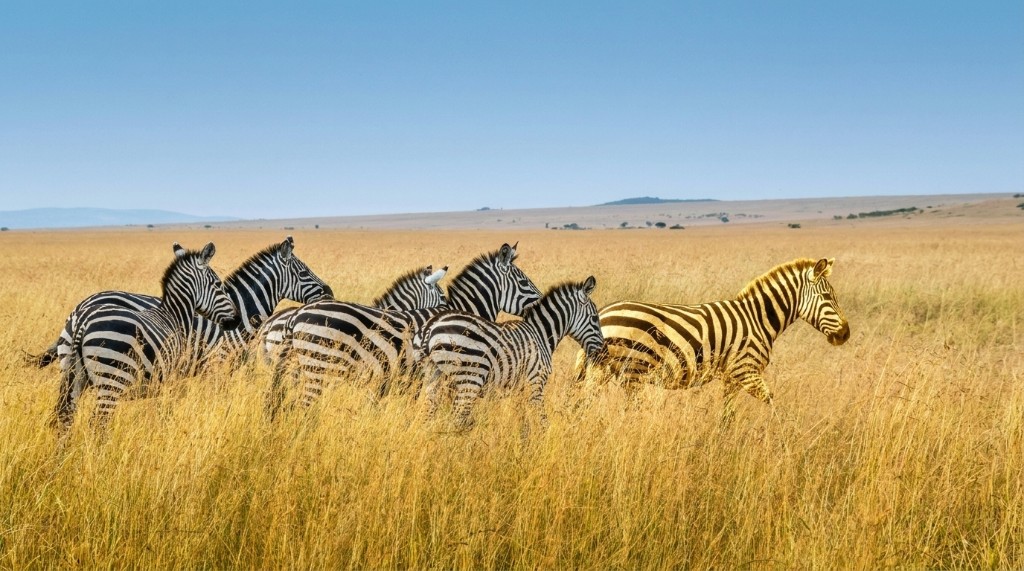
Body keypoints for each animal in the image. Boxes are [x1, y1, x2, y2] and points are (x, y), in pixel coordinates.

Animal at [53, 242, 240, 431]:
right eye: (218, 284)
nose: (237, 320)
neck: (174, 315)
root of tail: (82, 321)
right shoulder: (171, 376)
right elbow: (165, 411)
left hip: (73, 373)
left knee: (66, 417)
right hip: (112, 379)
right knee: (99, 423)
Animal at [415, 276, 603, 427]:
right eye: (595, 318)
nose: (602, 351)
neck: (540, 334)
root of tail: (431, 327)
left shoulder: (518, 389)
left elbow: (523, 421)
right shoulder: (536, 382)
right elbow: (542, 420)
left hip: (434, 377)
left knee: (428, 417)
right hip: (470, 379)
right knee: (455, 419)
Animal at [574, 257, 850, 417]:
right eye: (828, 298)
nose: (845, 334)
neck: (758, 318)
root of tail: (602, 313)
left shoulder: (731, 378)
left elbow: (727, 416)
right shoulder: (746, 370)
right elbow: (774, 406)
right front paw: (783, 442)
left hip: (603, 371)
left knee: (582, 406)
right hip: (633, 372)